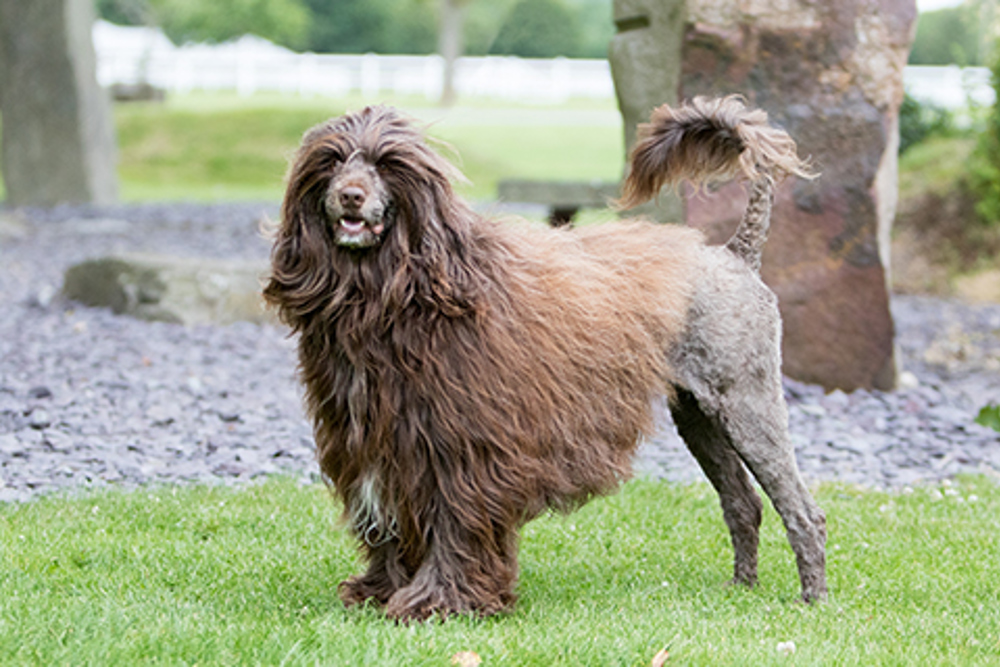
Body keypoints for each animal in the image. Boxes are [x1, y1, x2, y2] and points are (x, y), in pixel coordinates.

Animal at [264, 98, 828, 620]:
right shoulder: (376, 441)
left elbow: (454, 520)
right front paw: (381, 591)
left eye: (387, 164)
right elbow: (387, 521)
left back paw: (813, 599)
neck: (395, 292)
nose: (350, 196)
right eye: (332, 161)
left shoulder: (464, 445)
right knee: (743, 503)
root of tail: (735, 254)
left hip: (747, 402)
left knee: (804, 511)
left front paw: (441, 601)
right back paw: (742, 589)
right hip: (698, 416)